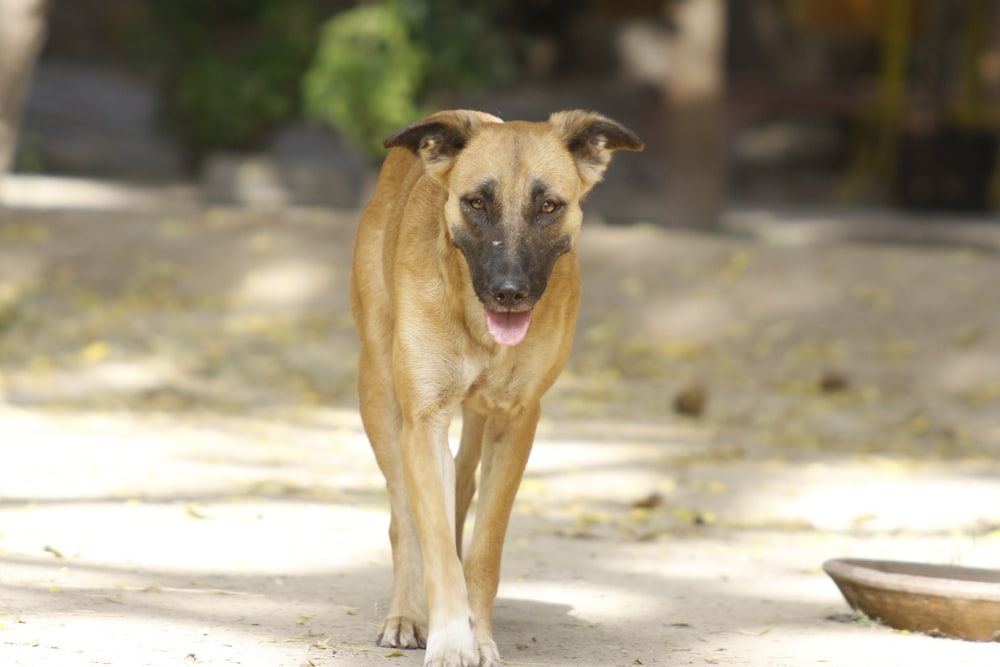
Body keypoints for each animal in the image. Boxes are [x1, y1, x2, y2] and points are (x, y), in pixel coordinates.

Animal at [352, 111, 644, 667]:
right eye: (476, 202)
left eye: (549, 205)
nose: (509, 292)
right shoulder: (423, 421)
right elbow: (433, 538)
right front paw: (450, 640)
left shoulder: (516, 419)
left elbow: (485, 547)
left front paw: (477, 634)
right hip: (380, 396)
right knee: (405, 518)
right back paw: (406, 614)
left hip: (476, 418)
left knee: (462, 485)